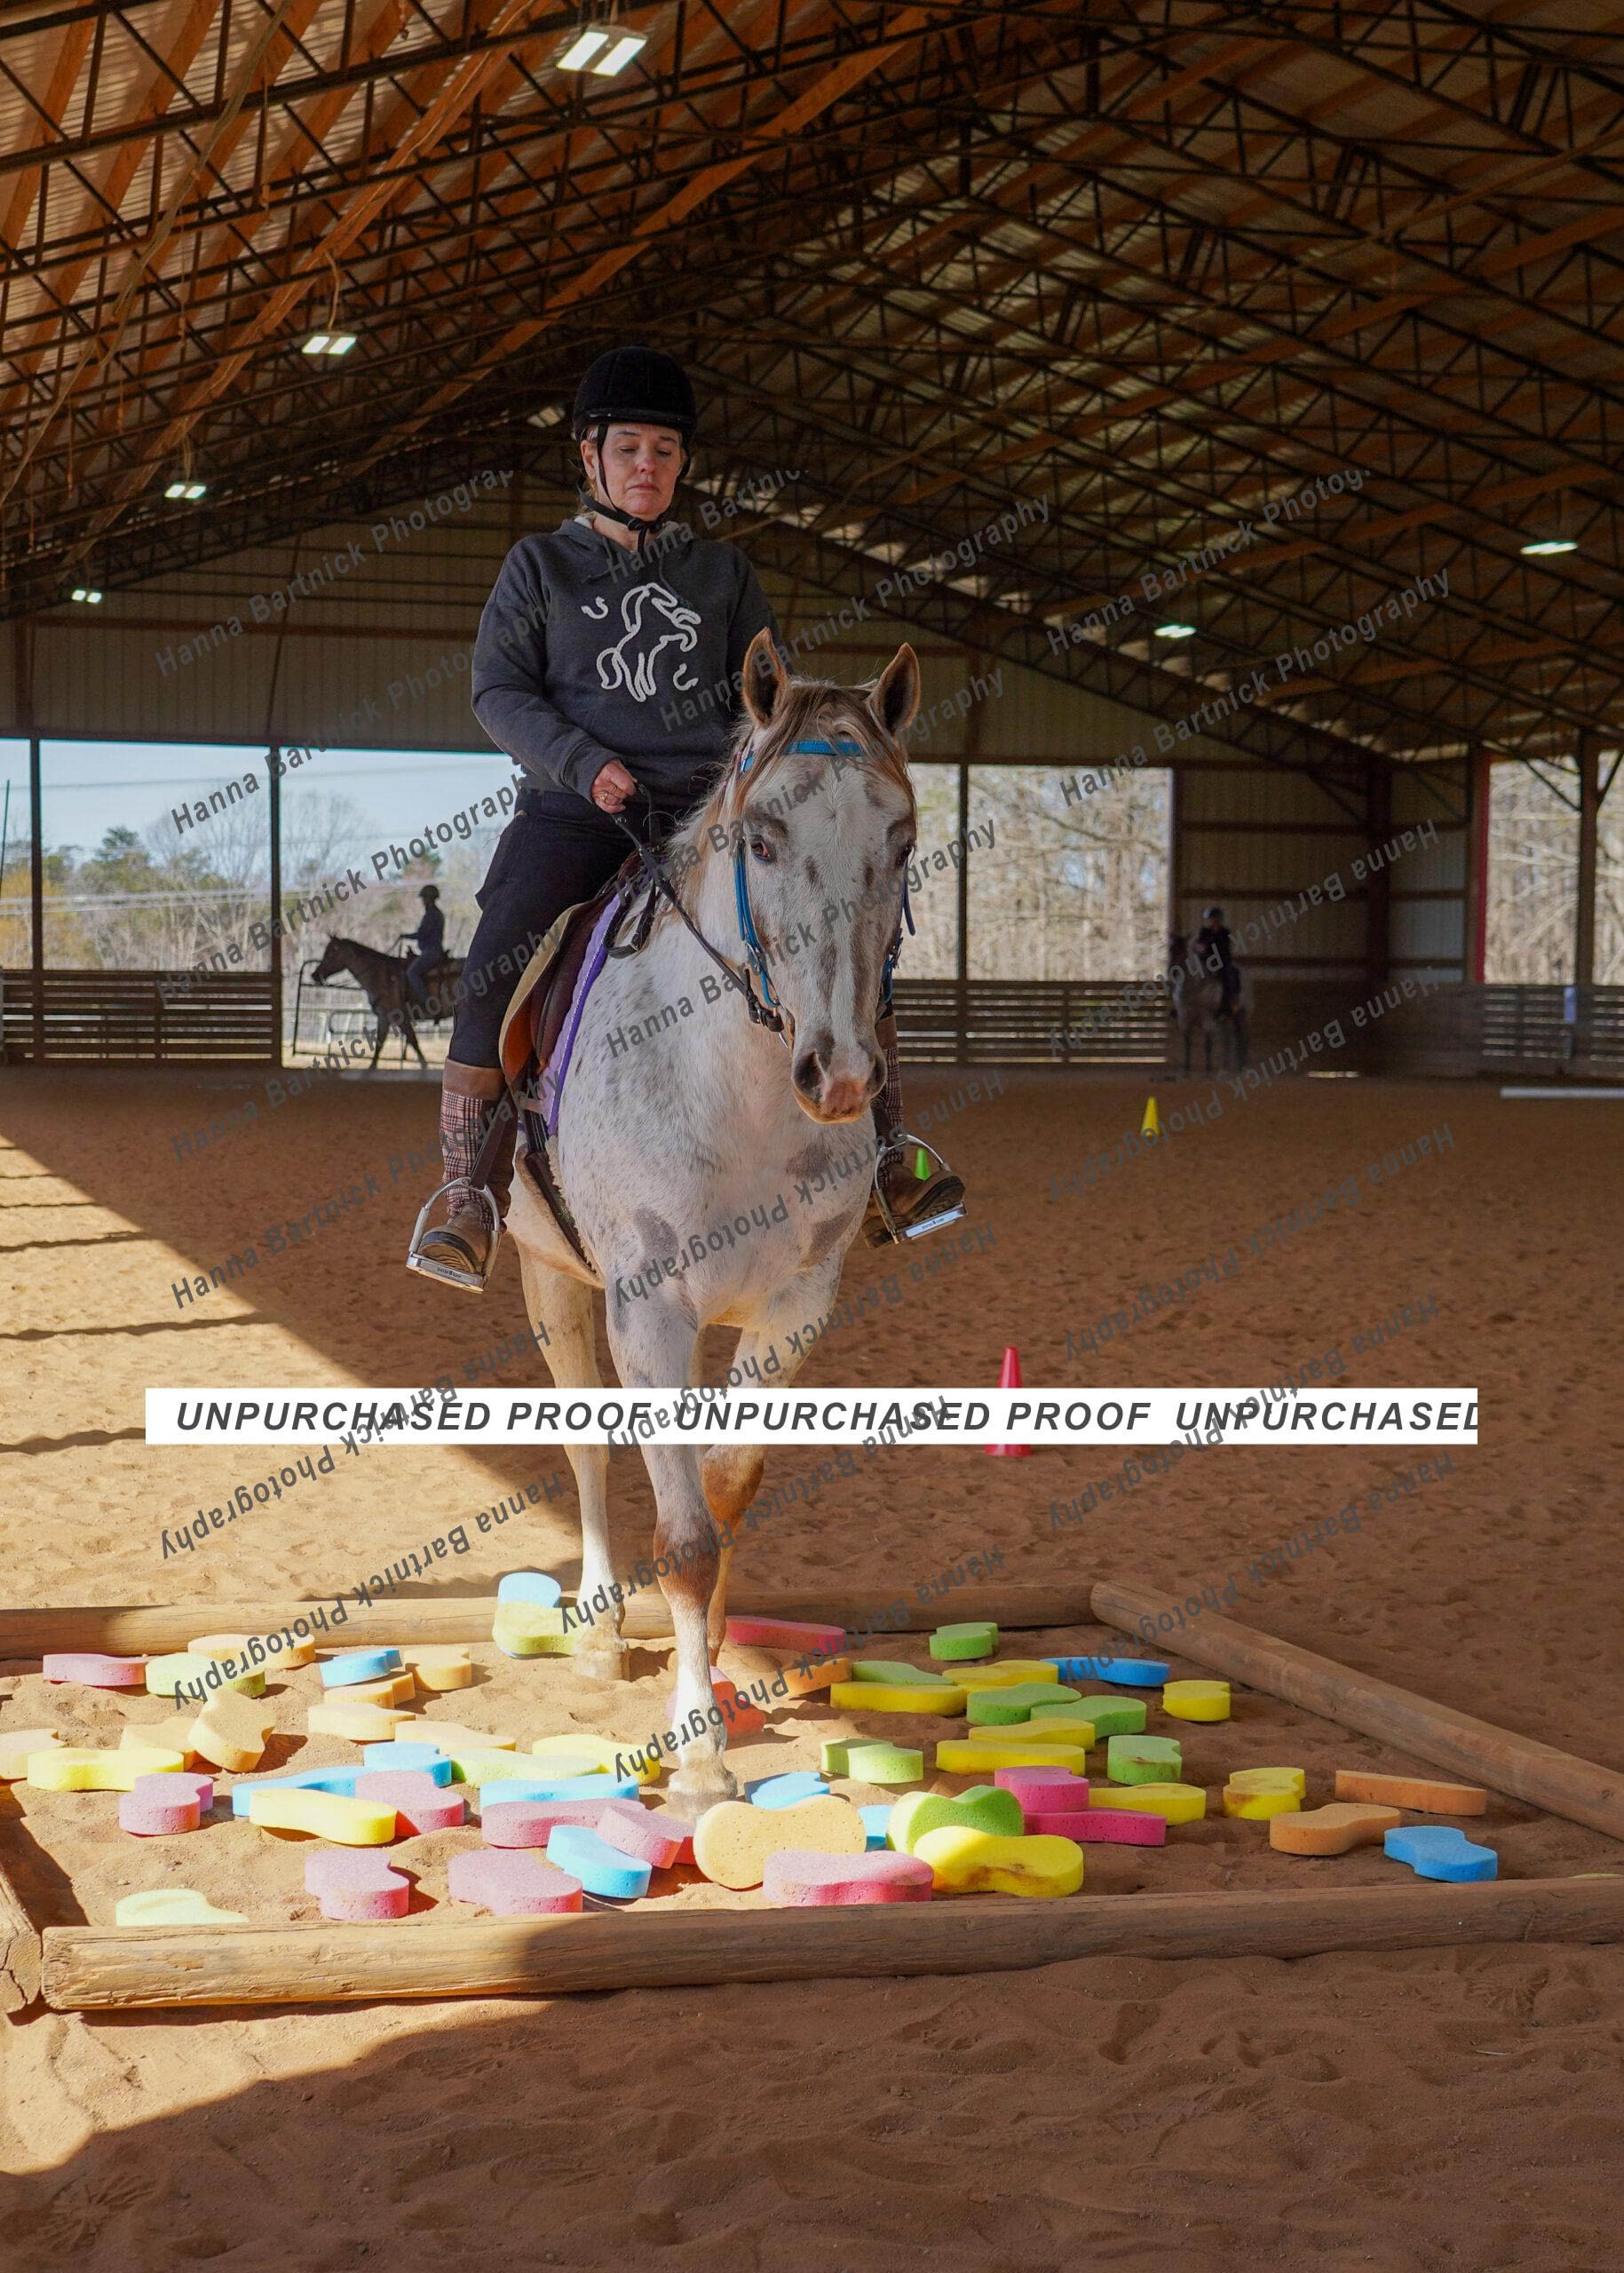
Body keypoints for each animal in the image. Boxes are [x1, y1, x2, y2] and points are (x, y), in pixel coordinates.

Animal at [308, 936, 463, 1070]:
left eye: (331, 953)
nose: (314, 975)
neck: (382, 976)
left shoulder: (399, 1017)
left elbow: (412, 1041)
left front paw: (424, 1067)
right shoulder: (384, 1018)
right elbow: (380, 1044)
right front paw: (370, 1069)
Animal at [504, 630, 920, 1811]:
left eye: (902, 837)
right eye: (763, 838)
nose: (840, 1075)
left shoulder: (796, 1302)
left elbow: (729, 1487)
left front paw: (727, 1662)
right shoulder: (646, 1305)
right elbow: (681, 1532)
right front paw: (696, 1752)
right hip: (552, 1278)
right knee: (587, 1440)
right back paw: (598, 1630)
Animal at [1168, 934, 1252, 1074]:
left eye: (1183, 953)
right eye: (1170, 951)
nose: (1172, 972)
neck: (1194, 988)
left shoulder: (1207, 1018)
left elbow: (1207, 1044)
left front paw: (1208, 1070)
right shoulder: (1184, 1018)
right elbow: (1187, 1042)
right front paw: (1186, 1068)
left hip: (1244, 1015)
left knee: (1244, 1038)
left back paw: (1243, 1067)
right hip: (1224, 1020)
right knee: (1227, 1040)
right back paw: (1225, 1069)